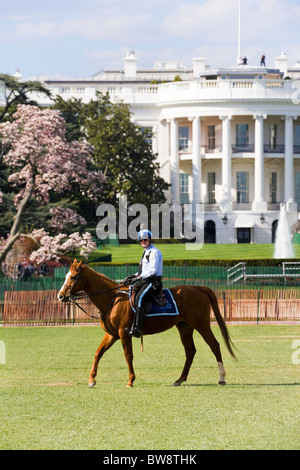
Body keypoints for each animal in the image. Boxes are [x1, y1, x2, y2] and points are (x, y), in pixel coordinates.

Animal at [57, 258, 236, 388]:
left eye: (73, 277)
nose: (61, 296)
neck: (114, 299)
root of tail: (198, 288)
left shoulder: (123, 333)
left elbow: (128, 355)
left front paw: (130, 380)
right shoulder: (112, 334)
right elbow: (98, 353)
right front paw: (92, 379)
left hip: (201, 325)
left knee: (214, 345)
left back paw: (221, 378)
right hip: (185, 327)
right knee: (190, 351)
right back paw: (180, 379)